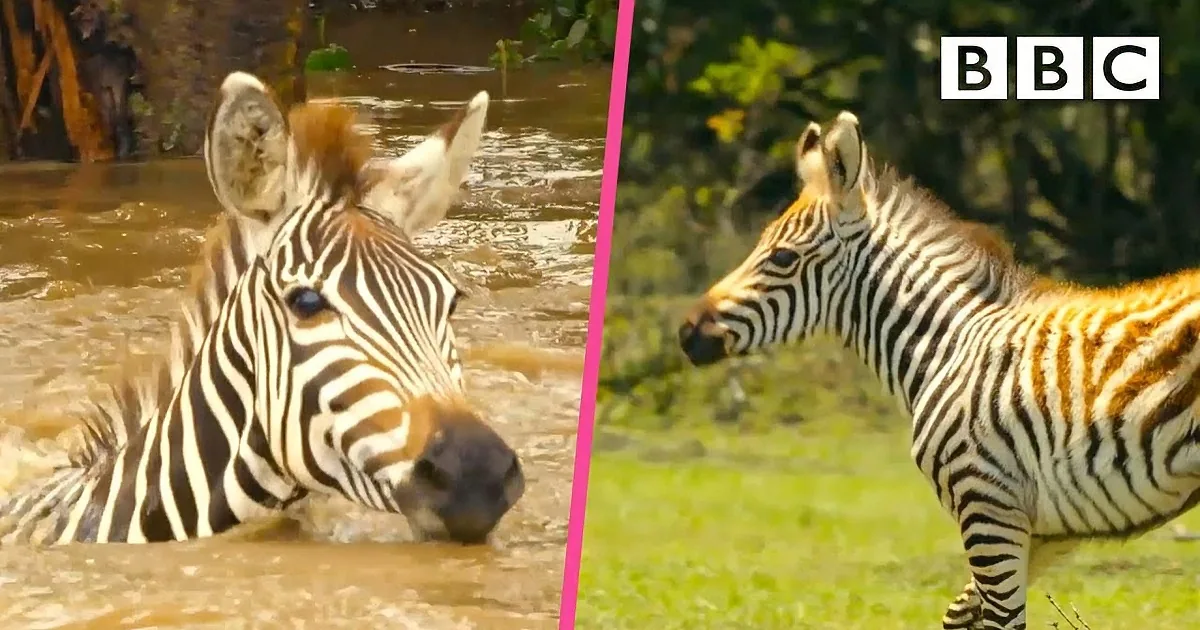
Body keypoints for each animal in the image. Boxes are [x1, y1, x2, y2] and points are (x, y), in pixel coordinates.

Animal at [678, 111, 1200, 629]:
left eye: (782, 257)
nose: (686, 333)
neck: (949, 347)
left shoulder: (986, 505)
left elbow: (999, 620)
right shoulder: (1048, 529)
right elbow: (959, 615)